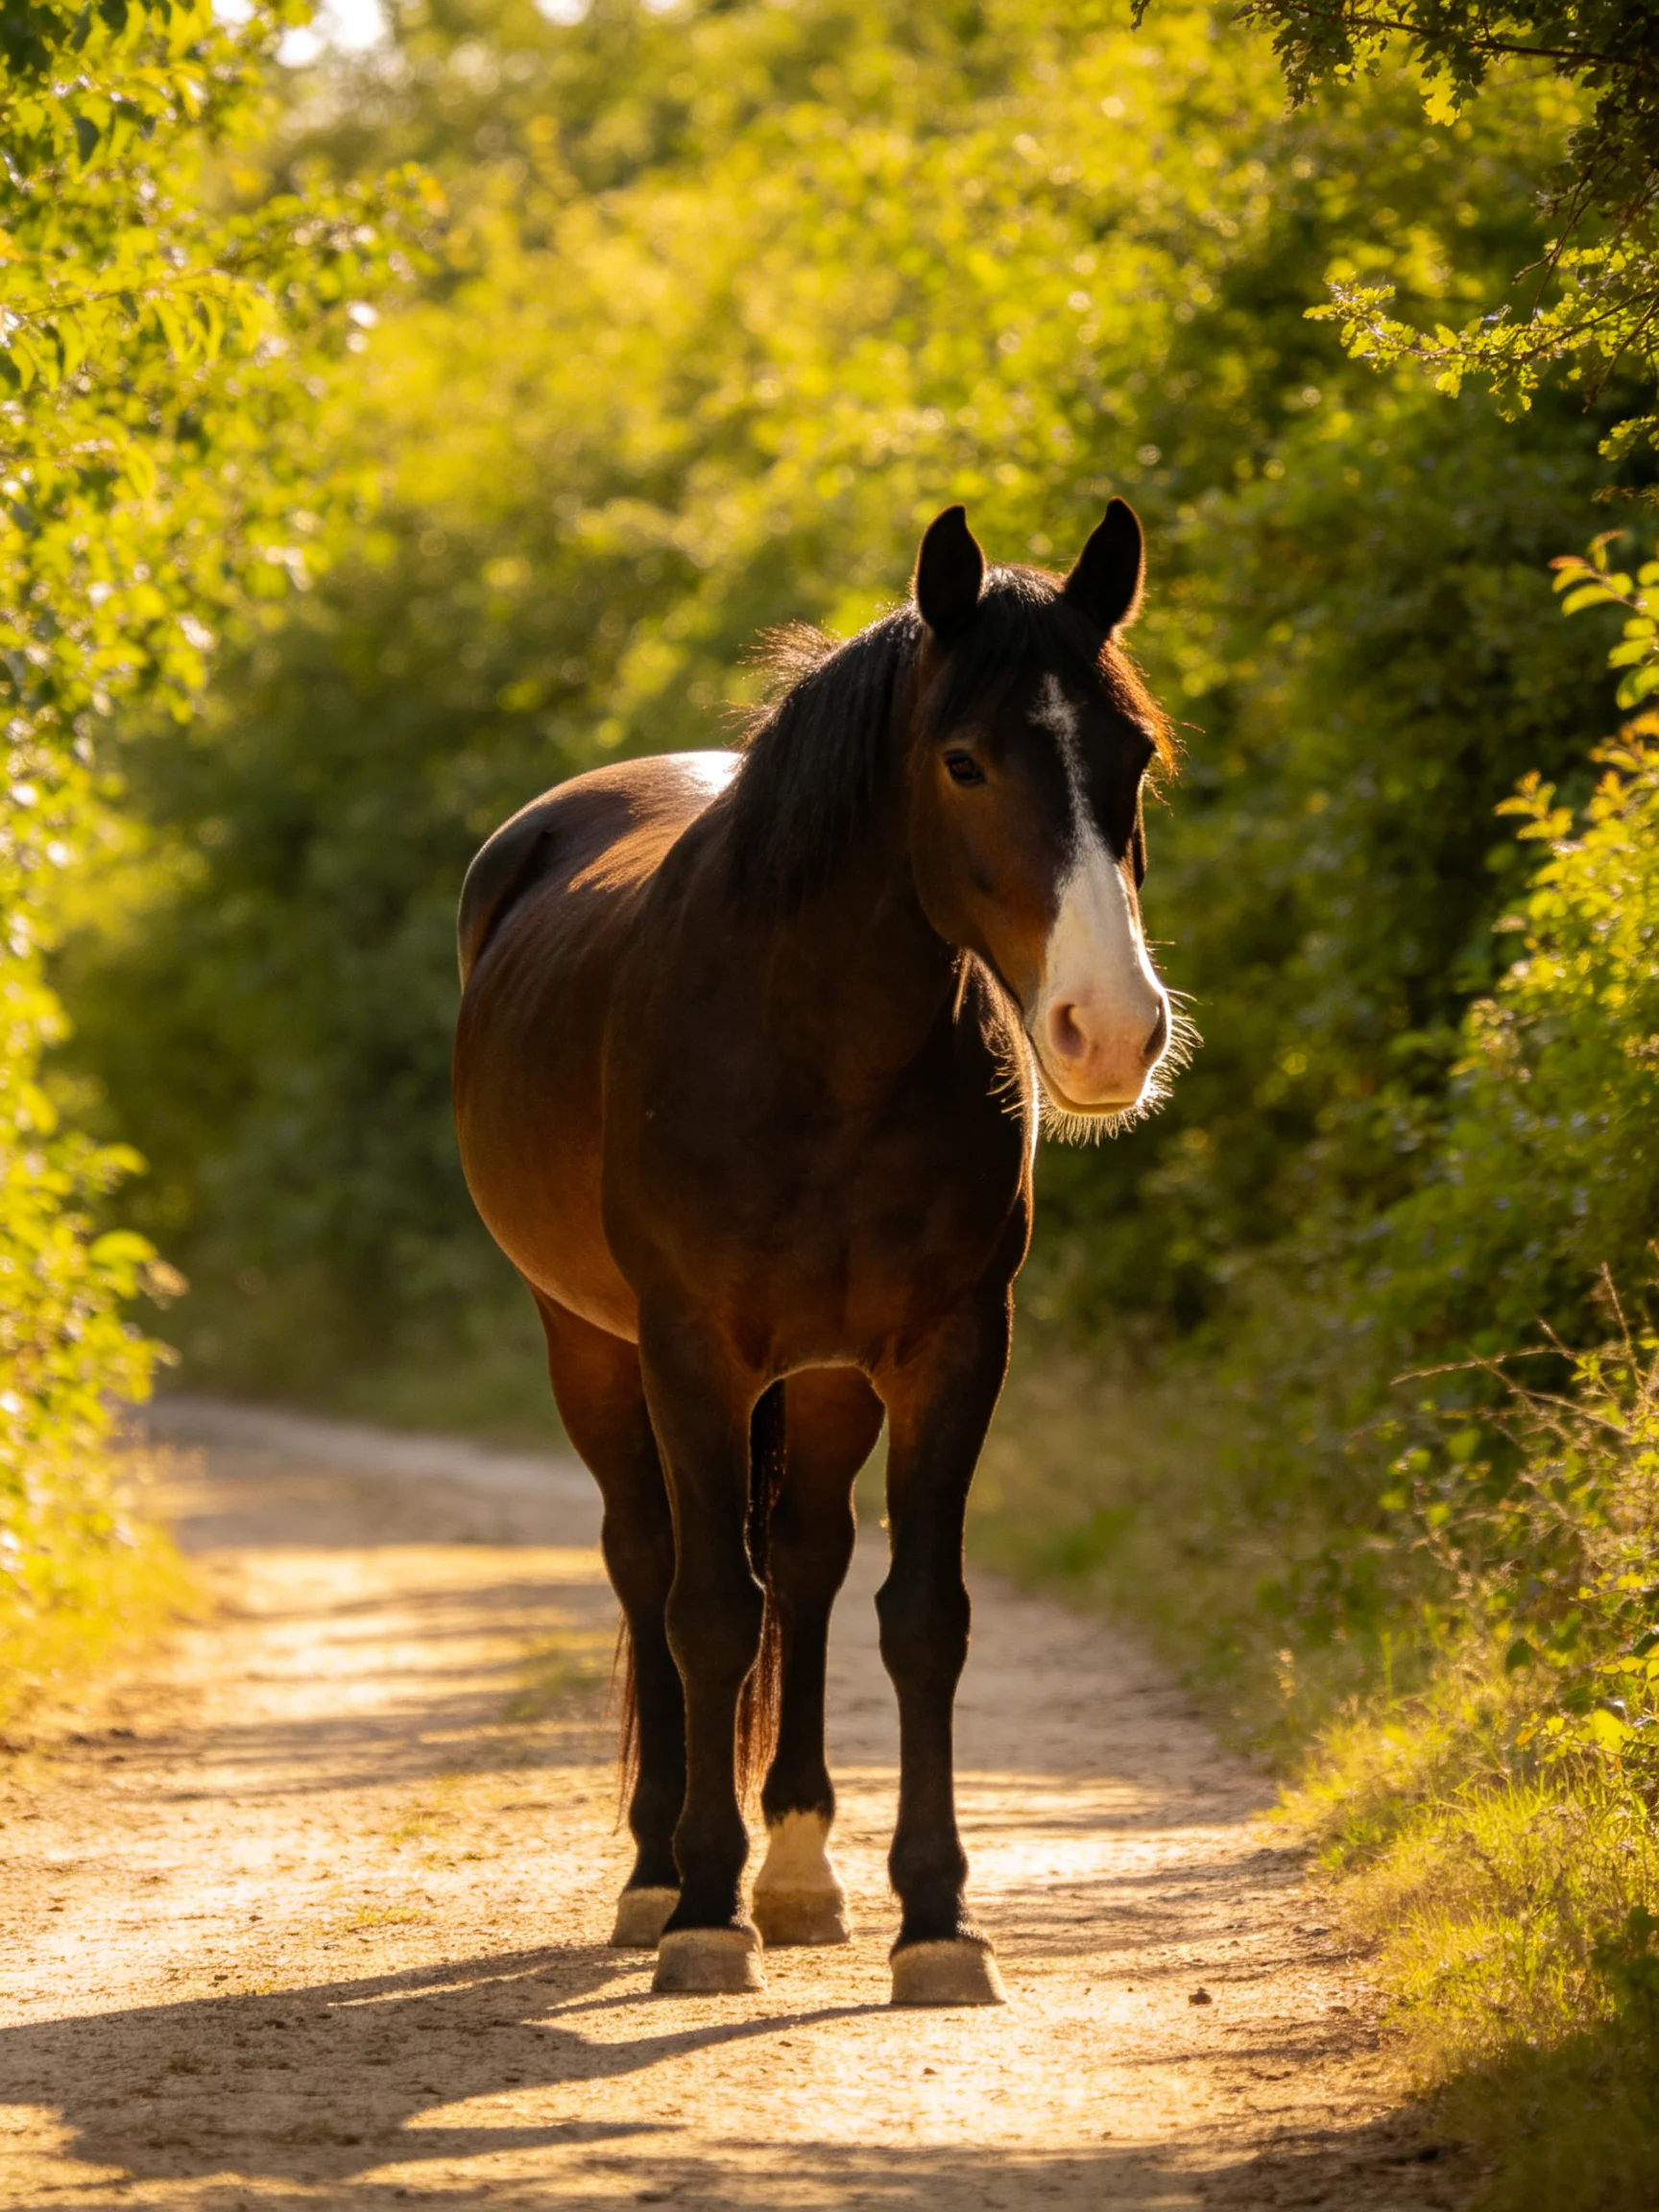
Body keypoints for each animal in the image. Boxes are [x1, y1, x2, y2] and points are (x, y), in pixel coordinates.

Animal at [452, 500, 1181, 2006]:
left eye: (1133, 754)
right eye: (964, 760)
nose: (1110, 1033)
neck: (820, 1050)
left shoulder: (950, 1348)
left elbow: (921, 1615)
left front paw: (938, 1922)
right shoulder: (692, 1354)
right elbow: (706, 1612)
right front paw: (700, 1913)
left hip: (830, 1379)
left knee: (803, 1560)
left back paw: (795, 1869)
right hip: (591, 1348)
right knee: (648, 1560)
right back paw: (660, 1873)